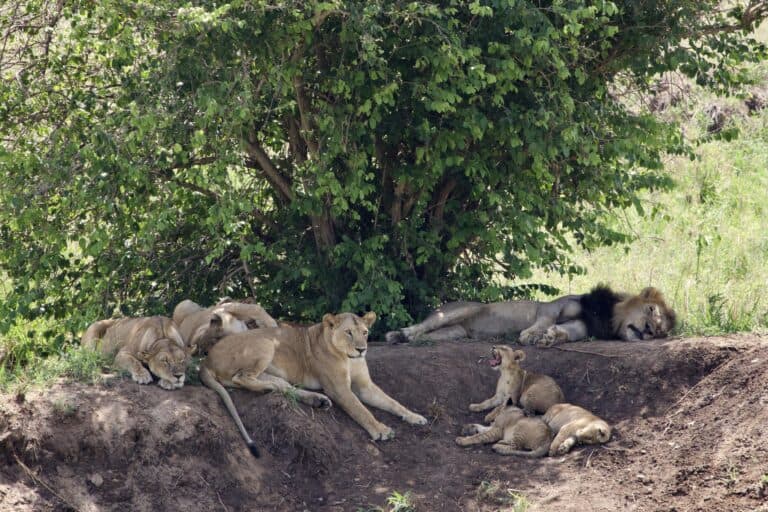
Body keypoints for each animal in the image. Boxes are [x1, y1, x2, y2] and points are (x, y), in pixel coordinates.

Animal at [200, 311, 428, 457]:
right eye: (348, 332)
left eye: (364, 332)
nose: (362, 349)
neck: (349, 358)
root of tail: (206, 360)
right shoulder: (338, 389)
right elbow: (361, 410)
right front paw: (380, 430)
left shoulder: (365, 386)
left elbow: (393, 402)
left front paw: (415, 417)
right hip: (265, 342)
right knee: (241, 378)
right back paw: (270, 389)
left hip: (272, 370)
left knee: (286, 388)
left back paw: (316, 400)